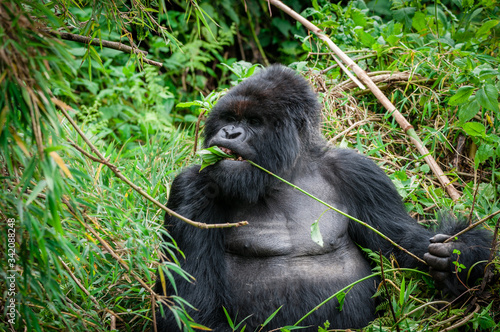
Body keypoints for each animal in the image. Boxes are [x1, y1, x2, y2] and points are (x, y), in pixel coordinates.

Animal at [156, 64, 492, 330]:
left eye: (253, 122)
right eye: (227, 118)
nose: (228, 133)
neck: (286, 174)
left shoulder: (360, 174)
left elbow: (403, 242)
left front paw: (461, 256)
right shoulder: (190, 187)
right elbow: (189, 303)